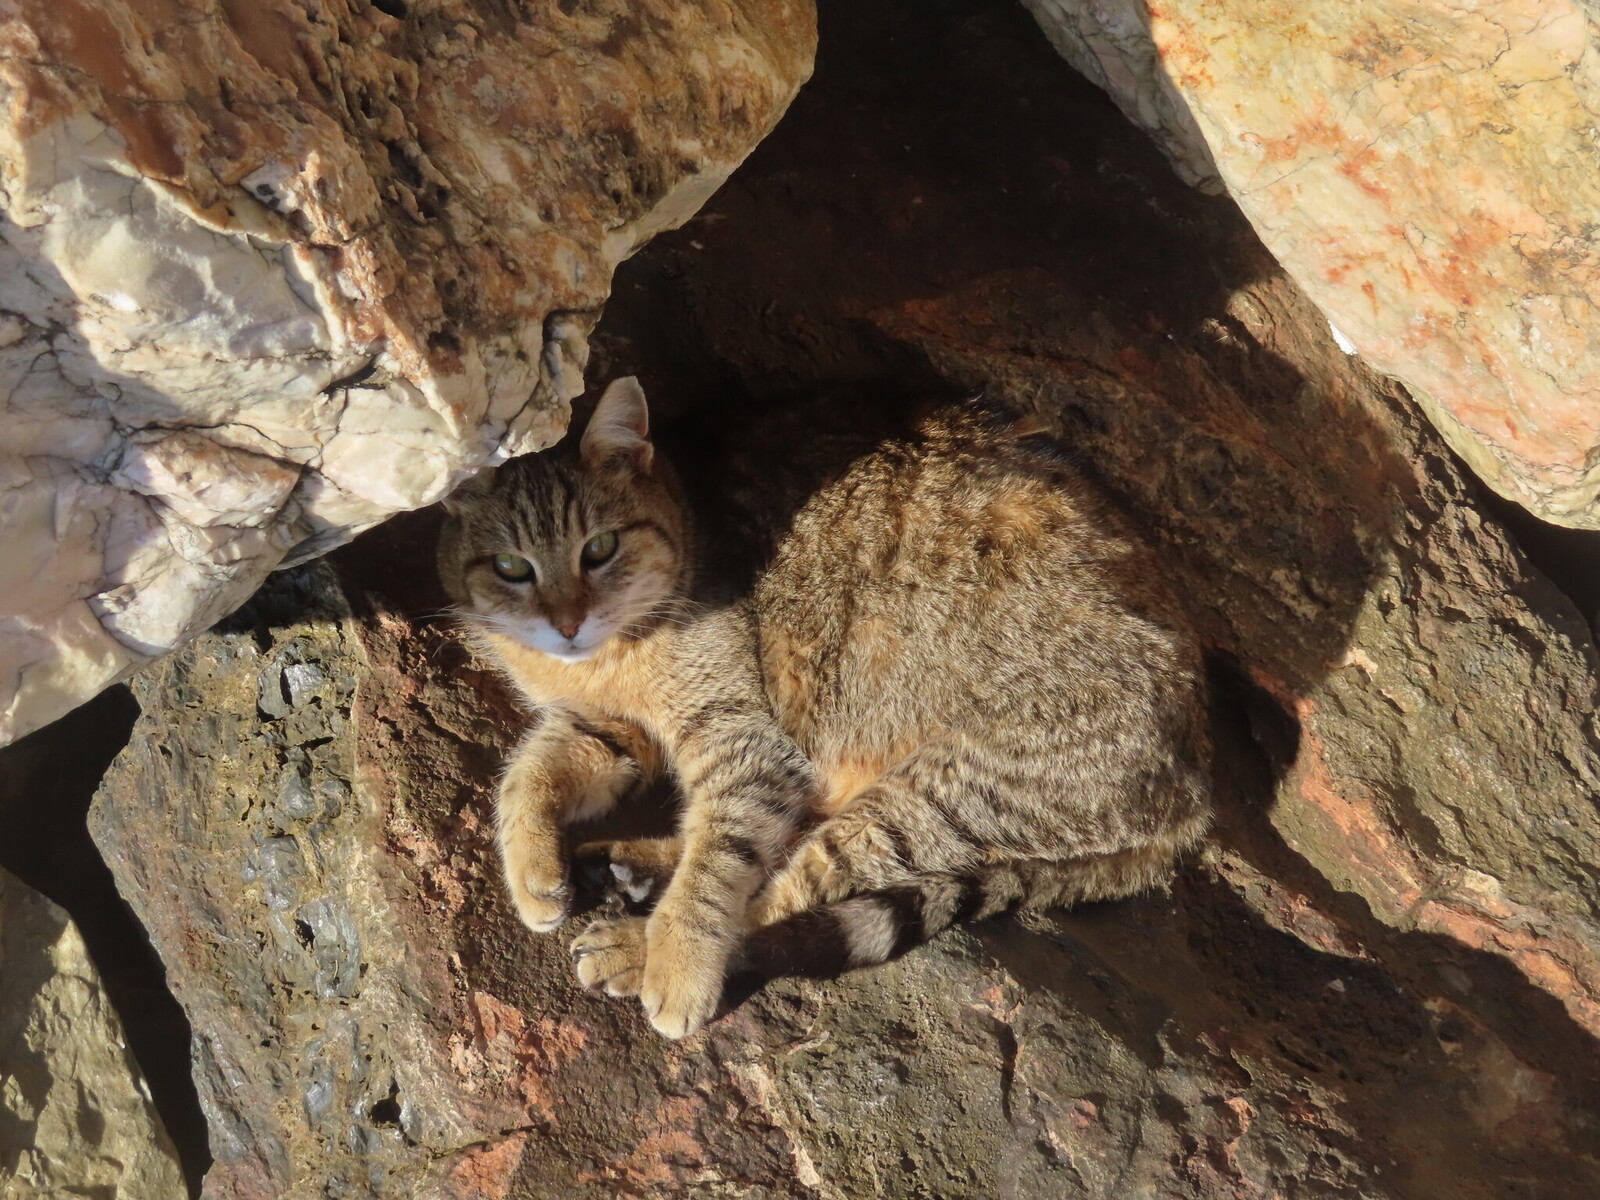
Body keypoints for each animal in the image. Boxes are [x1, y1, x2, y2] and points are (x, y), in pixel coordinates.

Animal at [437, 377, 1212, 1039]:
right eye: (511, 568)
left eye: (599, 549)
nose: (568, 622)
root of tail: (1199, 796)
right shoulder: (611, 727)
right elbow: (527, 772)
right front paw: (532, 870)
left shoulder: (748, 740)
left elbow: (721, 867)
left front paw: (678, 960)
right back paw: (635, 868)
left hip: (937, 797)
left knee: (789, 886)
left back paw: (639, 943)